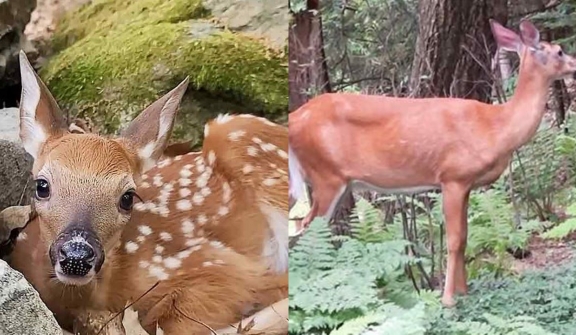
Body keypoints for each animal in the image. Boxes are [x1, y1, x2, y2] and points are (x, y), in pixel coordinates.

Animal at [290, 18, 576, 308]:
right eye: (559, 51)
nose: (575, 64)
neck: (495, 127)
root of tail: (295, 118)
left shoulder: (466, 183)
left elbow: (464, 237)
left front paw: (464, 291)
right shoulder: (453, 177)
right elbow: (454, 239)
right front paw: (448, 299)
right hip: (325, 174)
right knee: (305, 228)